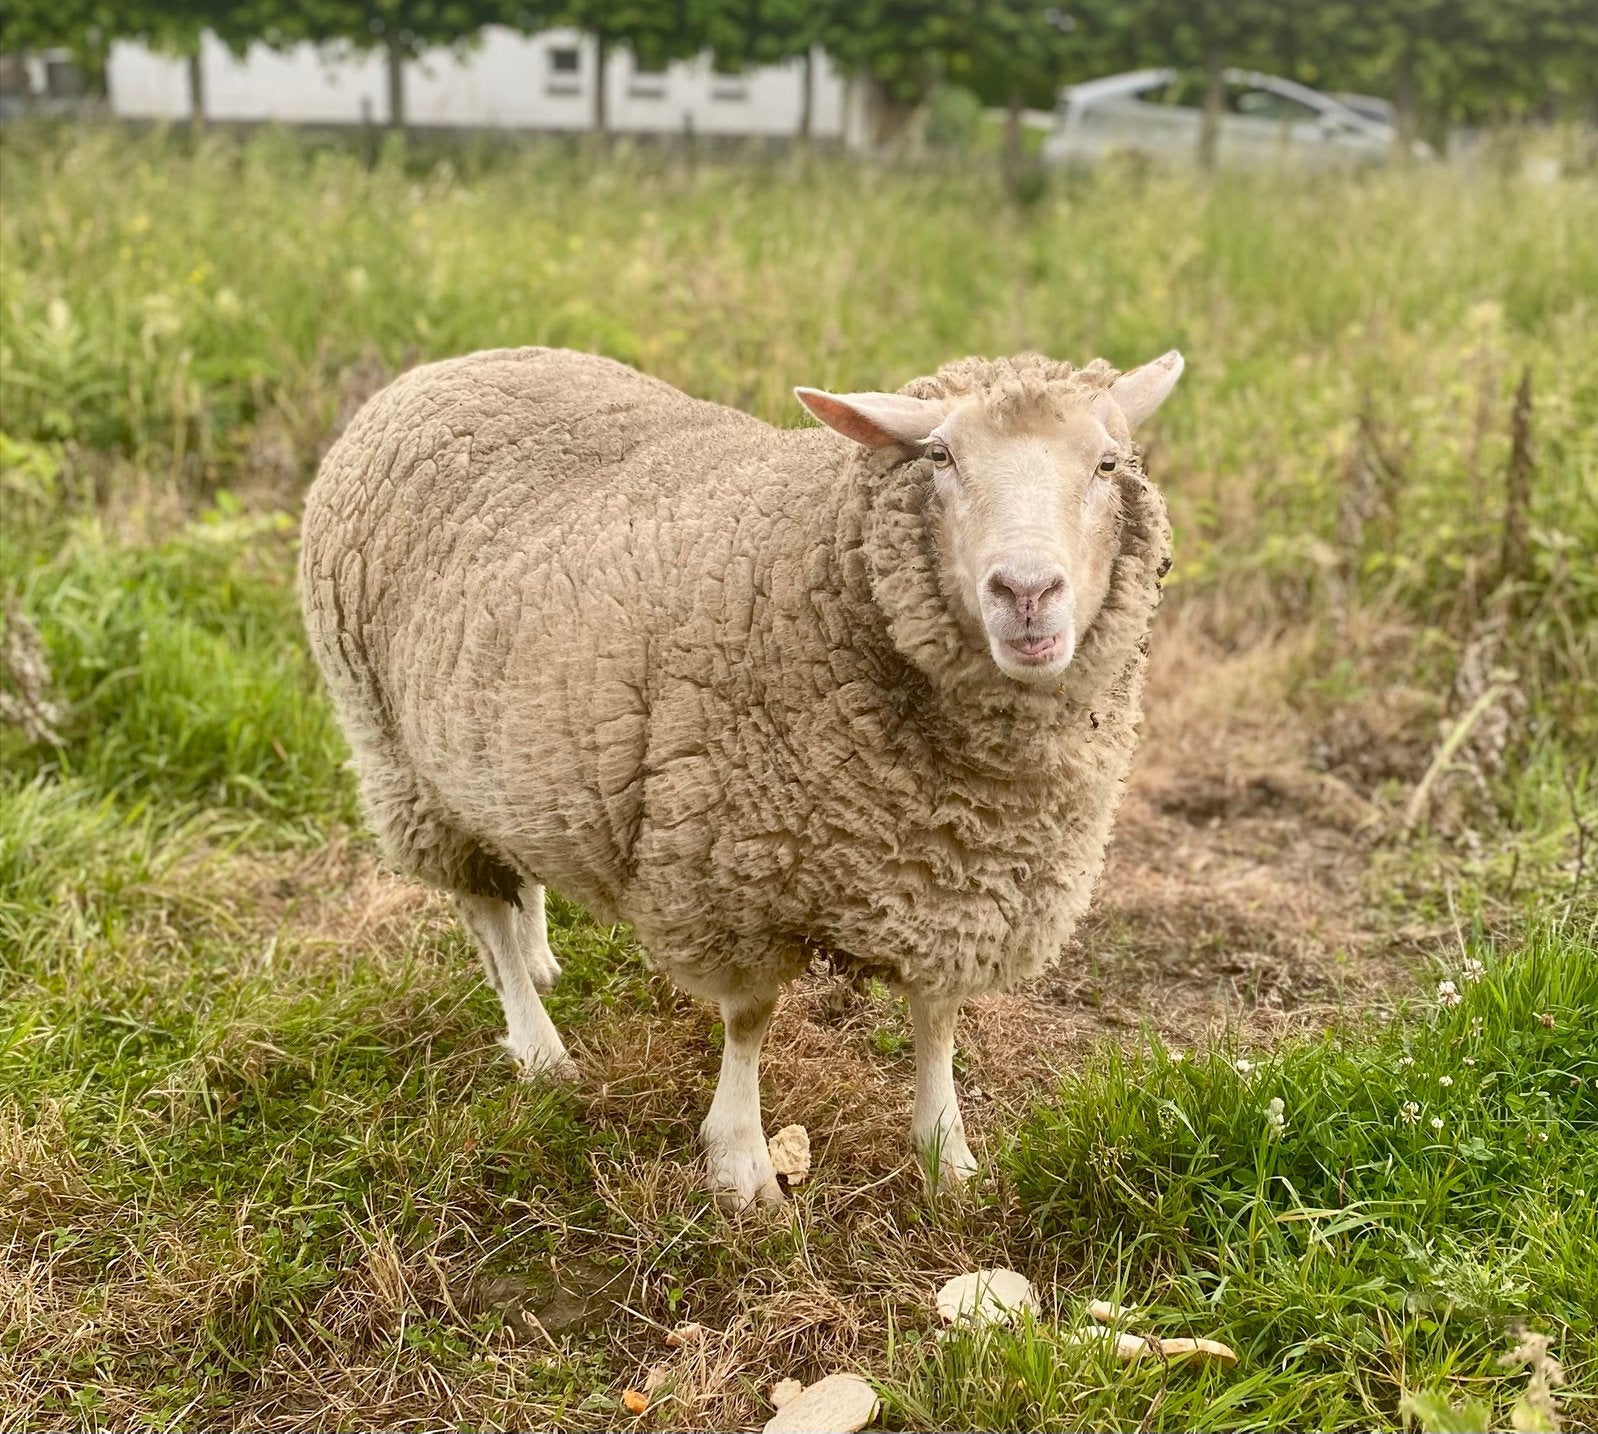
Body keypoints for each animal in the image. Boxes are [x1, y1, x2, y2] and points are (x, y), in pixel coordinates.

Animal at [299, 345, 1182, 1206]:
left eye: (1107, 463)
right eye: (940, 456)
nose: (1026, 591)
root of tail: (440, 367)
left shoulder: (957, 882)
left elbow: (938, 1021)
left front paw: (946, 1156)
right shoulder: (730, 877)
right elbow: (751, 1021)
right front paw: (741, 1163)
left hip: (505, 755)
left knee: (518, 870)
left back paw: (541, 952)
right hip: (399, 756)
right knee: (484, 911)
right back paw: (540, 1046)